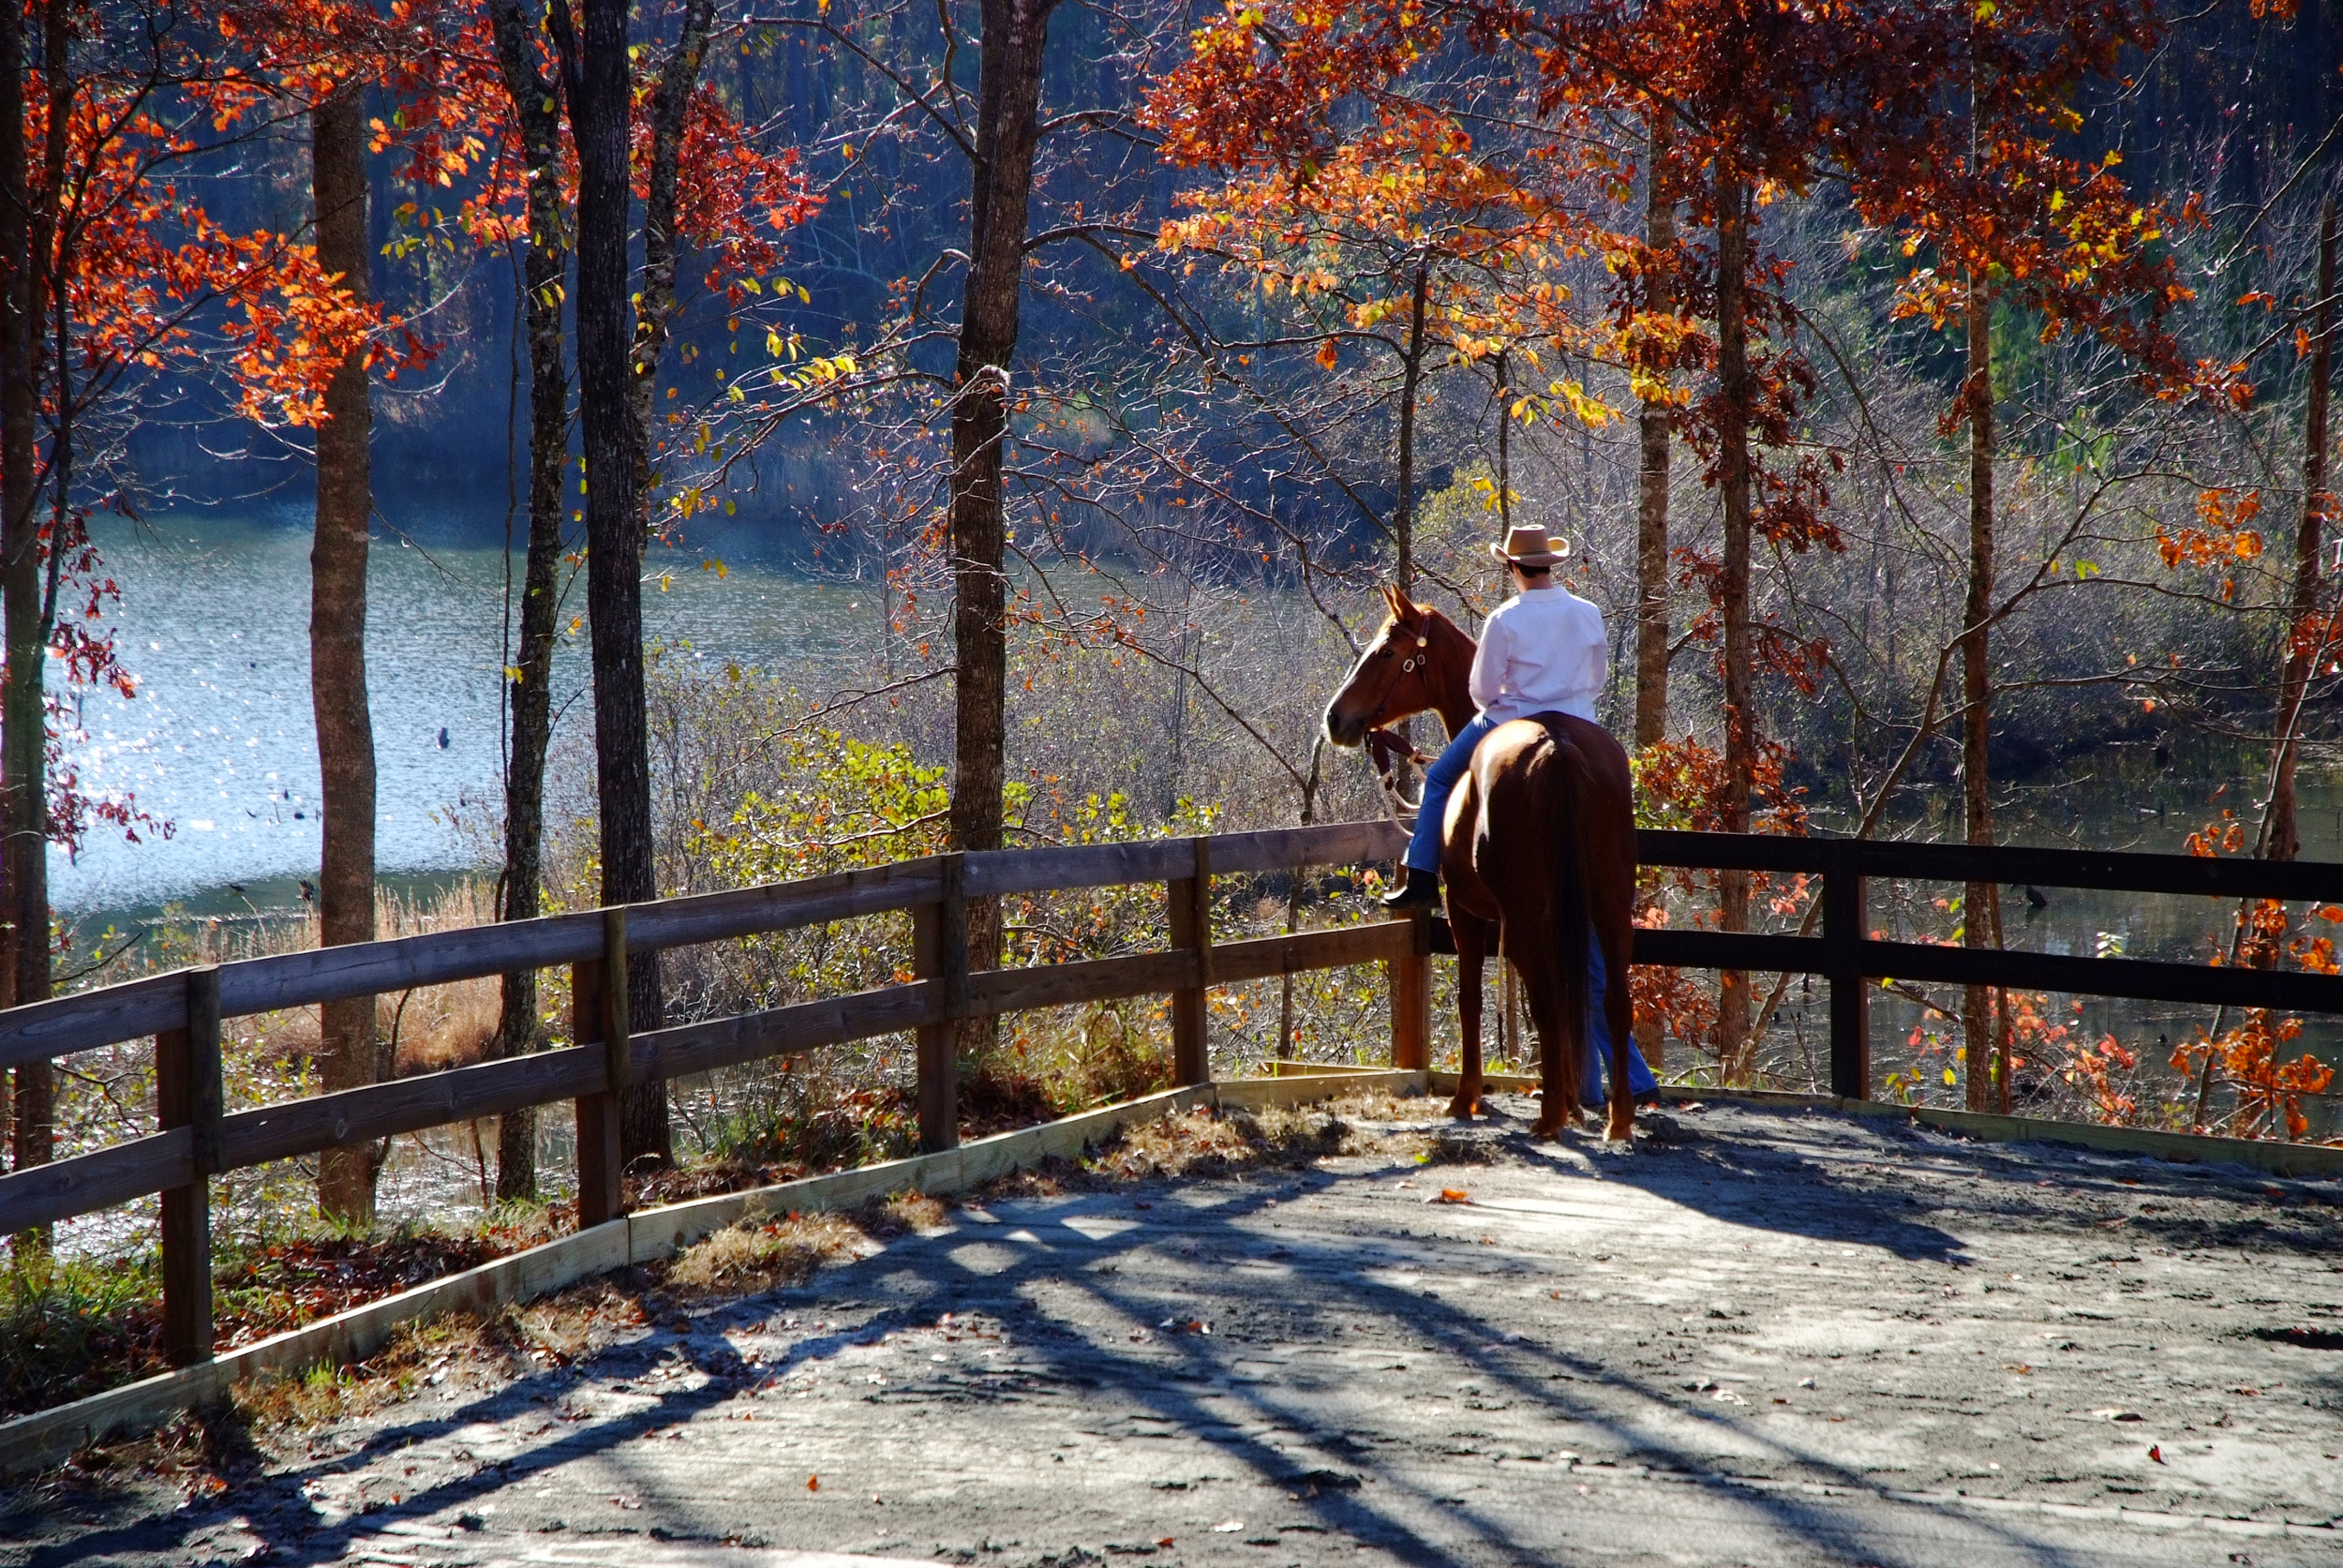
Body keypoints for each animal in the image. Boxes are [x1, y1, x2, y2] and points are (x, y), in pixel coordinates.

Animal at [1331, 583, 1640, 1139]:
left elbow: (1469, 997)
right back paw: (1614, 1118)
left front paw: (1465, 1097)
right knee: (1611, 1001)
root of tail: (1556, 747)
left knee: (1547, 998)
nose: (1335, 719)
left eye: (1387, 652)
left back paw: (1550, 1117)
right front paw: (1571, 1099)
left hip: (1522, 919)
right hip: (1606, 906)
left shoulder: (1465, 913)